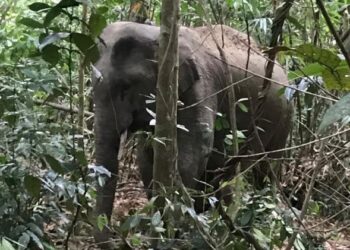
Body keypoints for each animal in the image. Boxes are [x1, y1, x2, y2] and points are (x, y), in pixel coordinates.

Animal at [91, 21, 292, 246]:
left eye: (126, 87)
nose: (115, 239)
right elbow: (146, 157)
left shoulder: (199, 90)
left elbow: (192, 154)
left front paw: (172, 232)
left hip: (283, 117)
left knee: (266, 167)